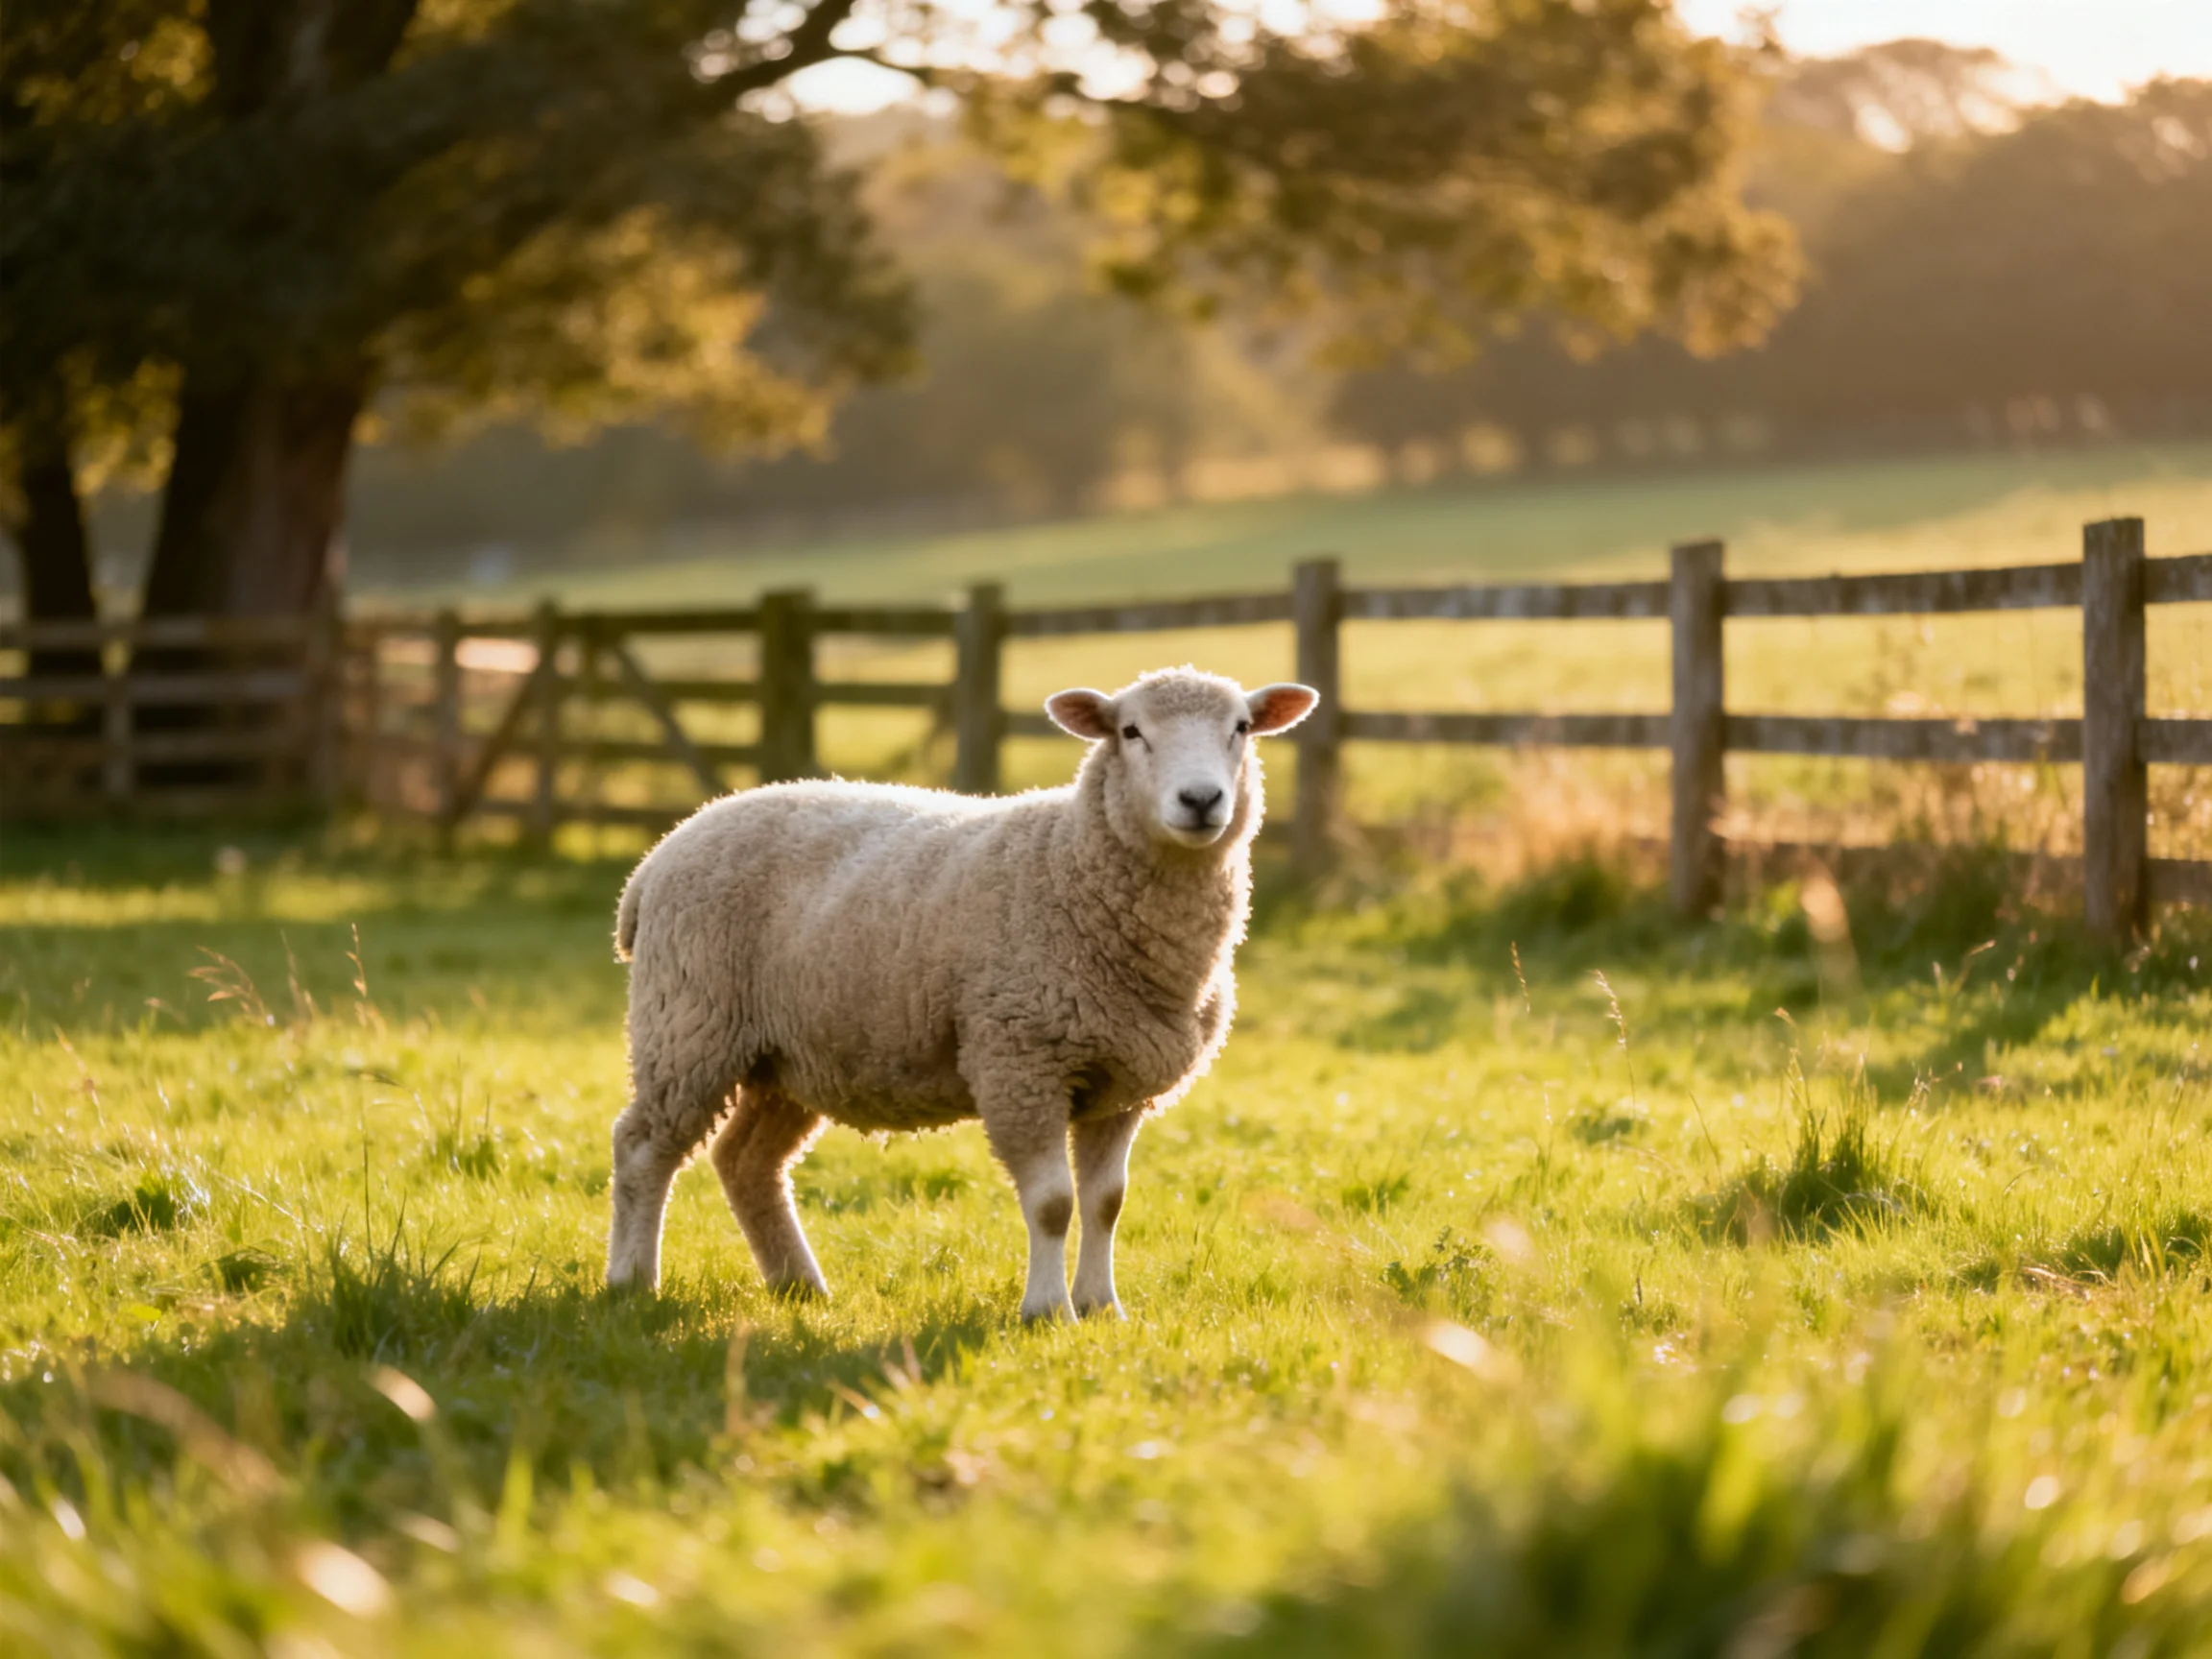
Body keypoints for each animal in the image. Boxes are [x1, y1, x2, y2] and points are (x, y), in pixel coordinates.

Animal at [604, 666, 1319, 1320]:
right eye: (1131, 732)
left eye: (1241, 728)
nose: (1200, 799)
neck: (1069, 863)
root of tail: (657, 857)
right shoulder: (1019, 1062)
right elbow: (1053, 1204)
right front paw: (1046, 1312)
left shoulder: (1120, 1081)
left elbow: (1106, 1203)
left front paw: (1100, 1307)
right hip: (688, 1024)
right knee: (642, 1148)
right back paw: (632, 1281)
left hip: (787, 1056)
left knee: (746, 1161)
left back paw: (799, 1285)